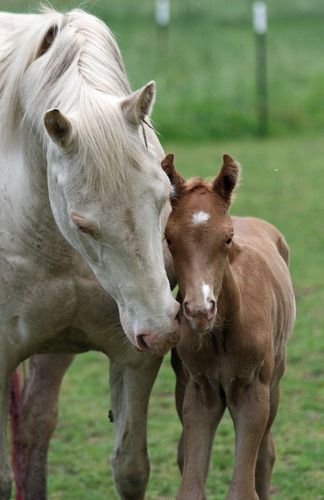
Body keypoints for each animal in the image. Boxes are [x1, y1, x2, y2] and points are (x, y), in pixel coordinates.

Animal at [0, 8, 178, 500]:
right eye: (82, 223)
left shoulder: (134, 357)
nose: (161, 330)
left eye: (166, 196)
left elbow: (130, 469)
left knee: (35, 426)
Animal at [162, 154, 296, 498]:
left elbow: (243, 487)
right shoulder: (200, 390)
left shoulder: (251, 391)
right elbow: (190, 485)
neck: (222, 333)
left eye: (227, 238)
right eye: (169, 239)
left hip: (274, 382)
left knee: (265, 454)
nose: (199, 311)